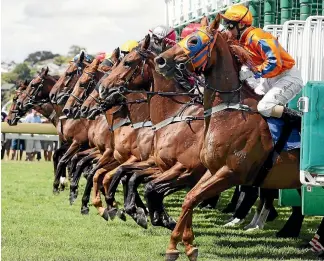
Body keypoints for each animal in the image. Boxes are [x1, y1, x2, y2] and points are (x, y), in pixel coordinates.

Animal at [154, 15, 302, 258]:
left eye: (193, 41)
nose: (161, 61)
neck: (228, 111)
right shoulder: (212, 169)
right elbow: (190, 198)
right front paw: (186, 244)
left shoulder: (231, 172)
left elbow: (192, 197)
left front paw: (176, 245)